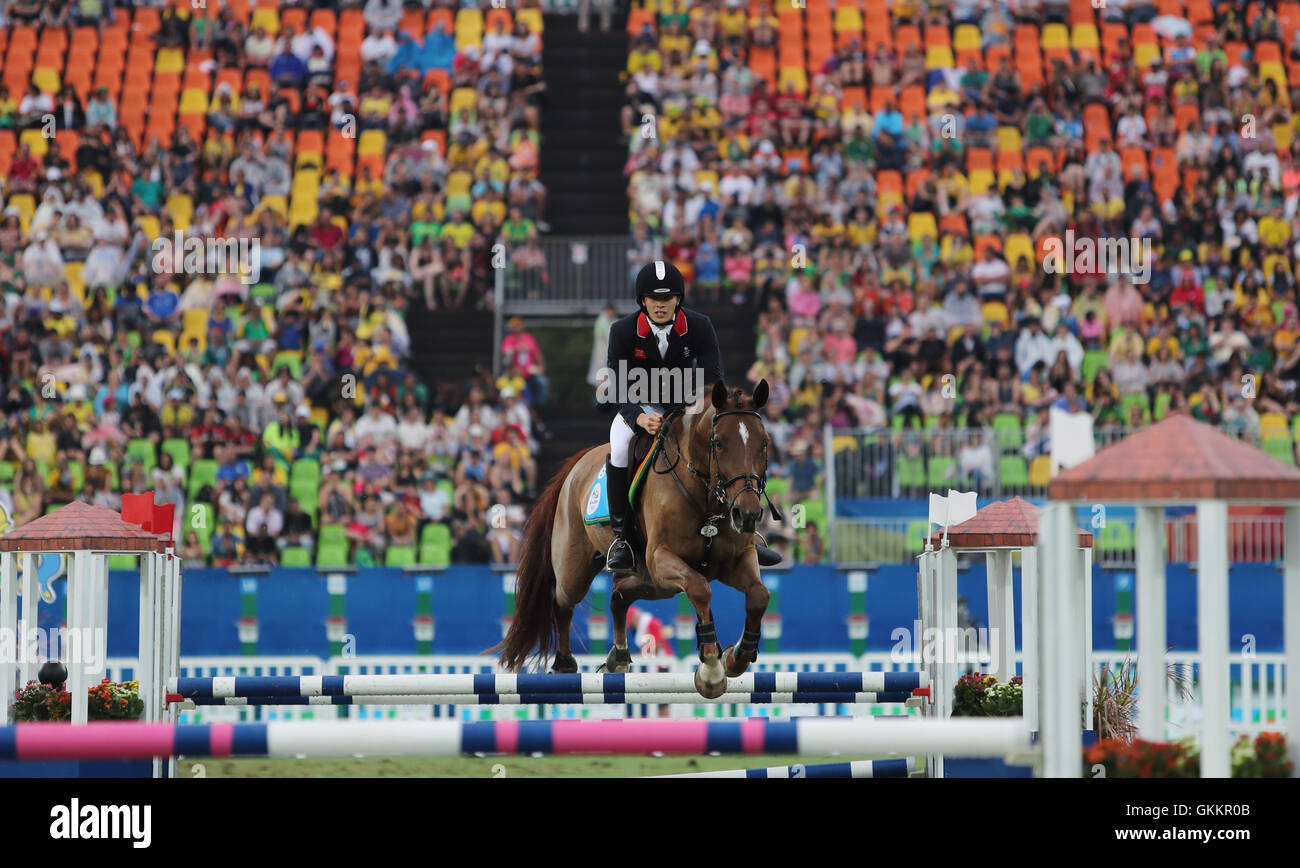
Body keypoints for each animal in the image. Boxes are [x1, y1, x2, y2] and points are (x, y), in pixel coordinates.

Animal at [488, 379, 769, 696]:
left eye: (763, 443)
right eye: (718, 443)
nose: (747, 514)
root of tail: (579, 463)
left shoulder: (738, 559)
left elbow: (759, 595)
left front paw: (736, 657)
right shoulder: (661, 559)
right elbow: (700, 589)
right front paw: (711, 671)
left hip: (653, 583)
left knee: (618, 596)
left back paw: (619, 657)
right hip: (579, 570)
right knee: (562, 601)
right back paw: (565, 664)